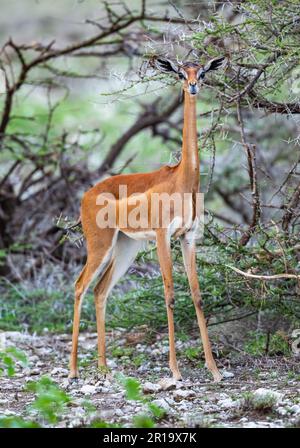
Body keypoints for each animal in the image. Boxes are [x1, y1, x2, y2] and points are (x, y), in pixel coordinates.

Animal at [69, 55, 225, 382]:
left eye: (203, 72)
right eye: (180, 73)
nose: (193, 86)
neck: (182, 181)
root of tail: (87, 194)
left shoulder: (188, 237)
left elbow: (197, 295)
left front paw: (214, 370)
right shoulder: (163, 236)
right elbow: (169, 294)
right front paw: (175, 370)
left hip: (126, 247)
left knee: (100, 291)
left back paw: (103, 367)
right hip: (101, 246)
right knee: (80, 286)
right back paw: (73, 370)